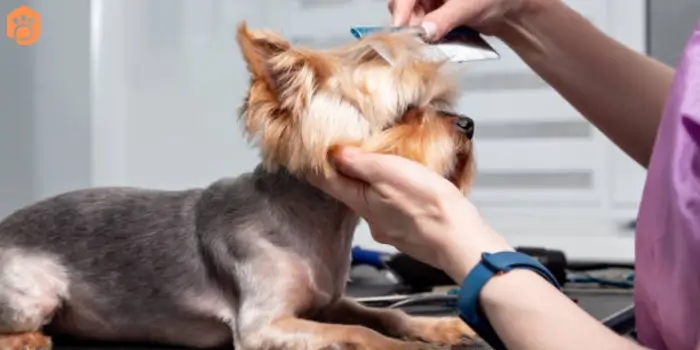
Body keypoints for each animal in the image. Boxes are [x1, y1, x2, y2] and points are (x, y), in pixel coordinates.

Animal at [0, 23, 482, 348]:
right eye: (406, 112)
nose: (468, 124)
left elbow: (377, 315)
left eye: (440, 104)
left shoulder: (327, 301)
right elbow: (359, 332)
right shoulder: (264, 326)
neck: (315, 224)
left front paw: (437, 326)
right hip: (36, 289)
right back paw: (28, 339)